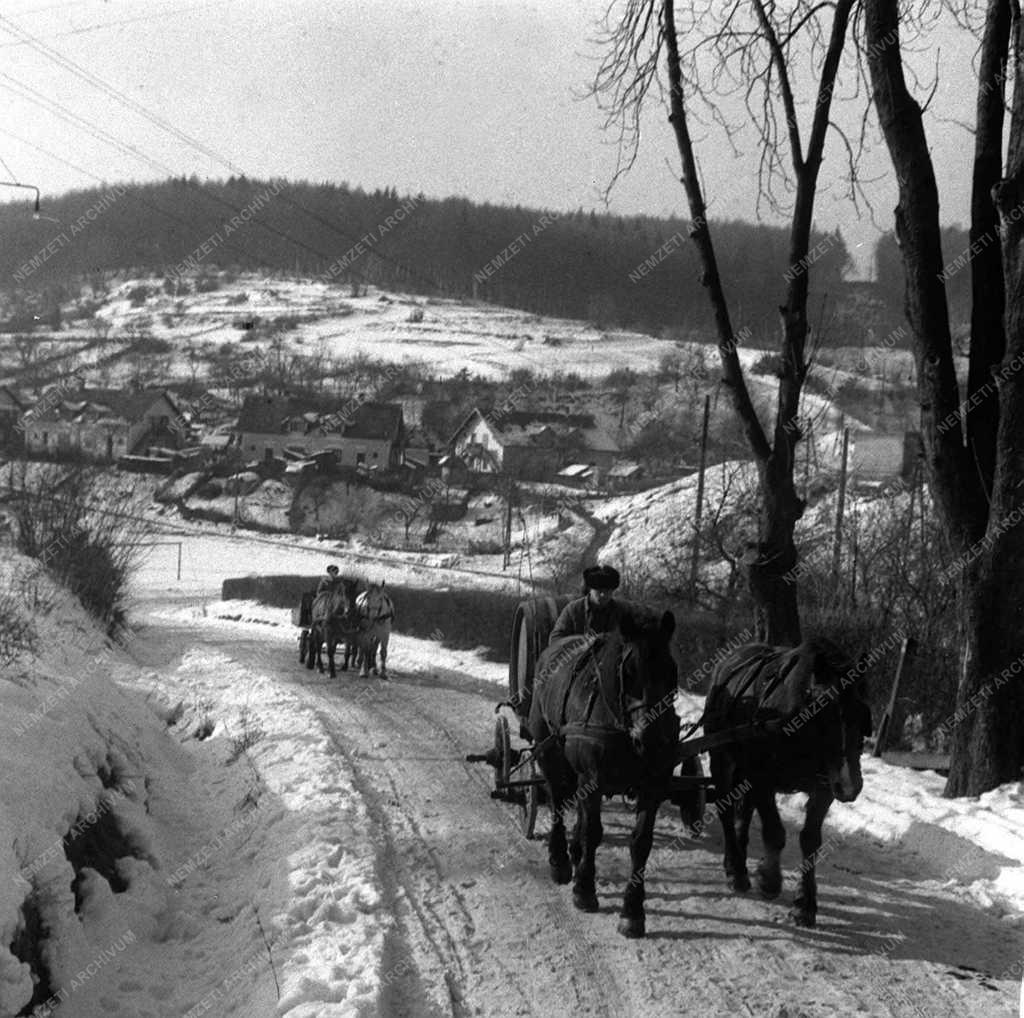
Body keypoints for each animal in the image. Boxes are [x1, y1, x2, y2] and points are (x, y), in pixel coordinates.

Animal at [528, 610, 679, 938]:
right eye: (629, 672)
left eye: (671, 670)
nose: (652, 741)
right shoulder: (592, 779)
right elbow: (593, 832)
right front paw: (584, 890)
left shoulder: (653, 785)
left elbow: (641, 843)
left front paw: (632, 912)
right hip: (549, 752)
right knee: (558, 800)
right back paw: (560, 860)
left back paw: (574, 851)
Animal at [704, 639, 872, 925]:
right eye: (824, 715)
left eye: (861, 714)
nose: (851, 786)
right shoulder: (761, 778)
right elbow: (774, 832)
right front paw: (769, 879)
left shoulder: (824, 788)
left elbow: (810, 840)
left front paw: (805, 903)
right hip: (722, 759)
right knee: (726, 811)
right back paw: (736, 870)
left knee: (742, 815)